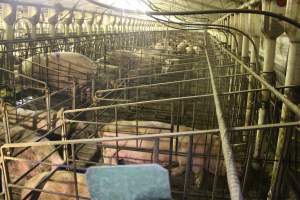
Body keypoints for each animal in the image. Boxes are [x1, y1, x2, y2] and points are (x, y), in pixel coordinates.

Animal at [98, 121, 241, 187]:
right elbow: (186, 167)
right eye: (223, 155)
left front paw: (197, 184)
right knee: (107, 157)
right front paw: (173, 173)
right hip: (112, 147)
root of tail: (105, 127)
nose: (240, 169)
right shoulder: (185, 155)